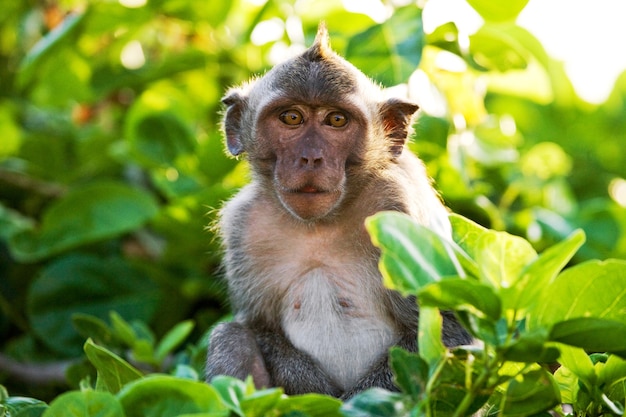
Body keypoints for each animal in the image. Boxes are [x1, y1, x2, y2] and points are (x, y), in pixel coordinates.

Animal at [205, 23, 468, 400]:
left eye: (337, 120)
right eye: (291, 117)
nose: (310, 157)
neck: (320, 224)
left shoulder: (398, 206)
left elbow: (448, 332)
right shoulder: (245, 225)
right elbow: (259, 328)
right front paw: (310, 389)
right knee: (230, 336)